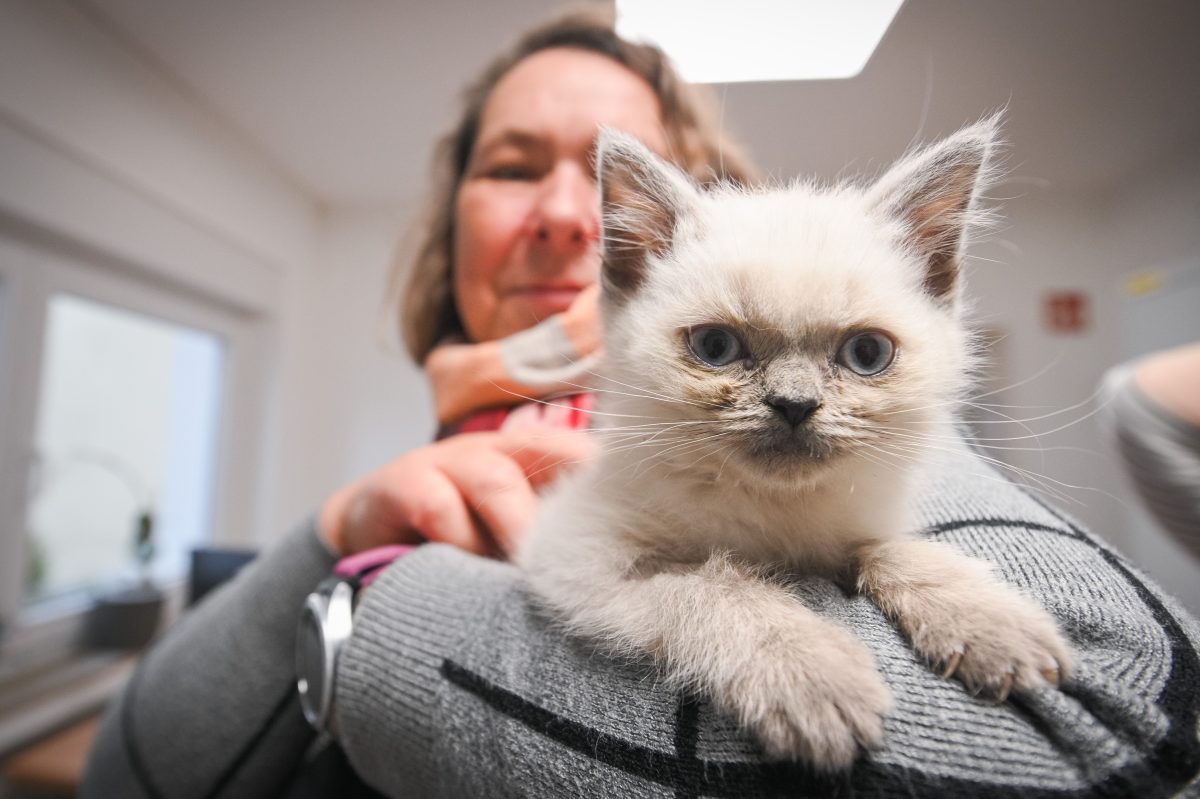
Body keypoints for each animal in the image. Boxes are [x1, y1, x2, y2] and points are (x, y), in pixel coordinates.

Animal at [516, 116, 1070, 767]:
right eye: (715, 347)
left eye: (867, 354)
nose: (794, 405)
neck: (777, 515)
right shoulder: (575, 551)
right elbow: (713, 585)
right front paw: (809, 676)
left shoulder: (856, 526)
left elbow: (888, 550)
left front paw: (988, 621)